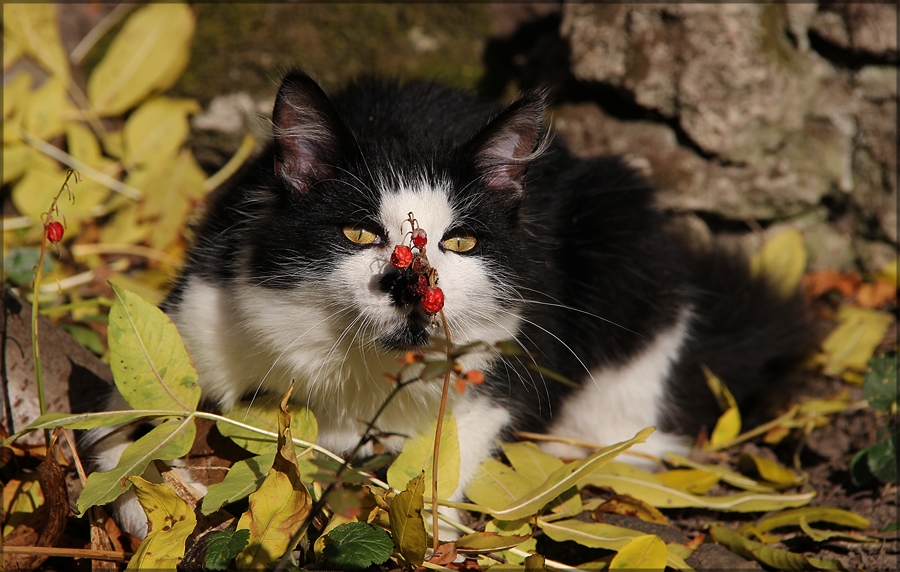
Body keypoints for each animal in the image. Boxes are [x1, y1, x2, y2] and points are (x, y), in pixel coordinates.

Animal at [86, 70, 816, 536]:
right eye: (359, 234)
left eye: (460, 242)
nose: (414, 284)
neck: (356, 372)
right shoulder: (201, 309)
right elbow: (121, 424)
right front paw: (146, 503)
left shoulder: (509, 362)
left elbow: (448, 454)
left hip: (622, 230)